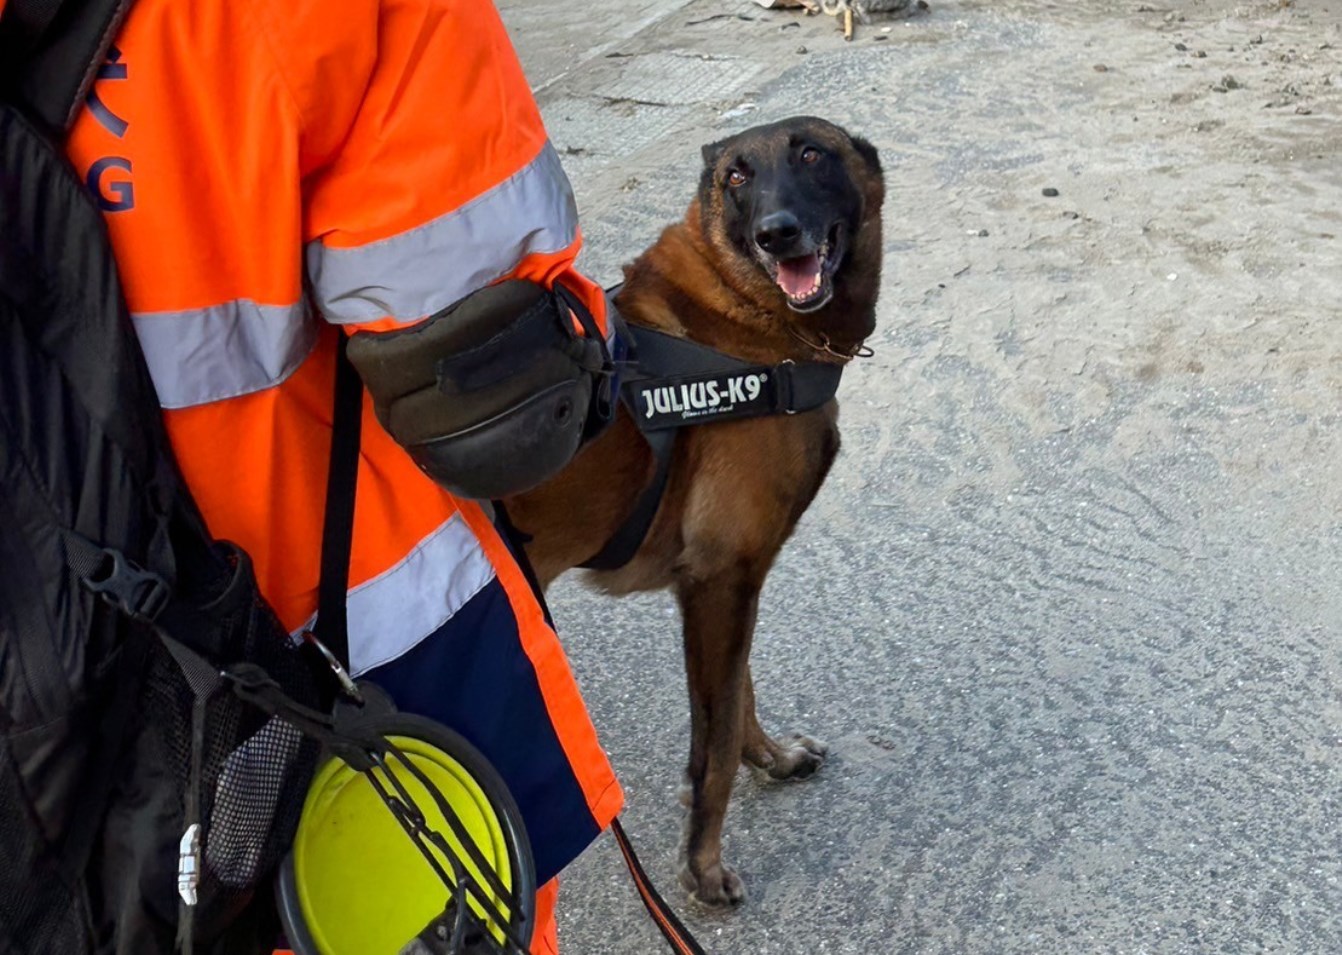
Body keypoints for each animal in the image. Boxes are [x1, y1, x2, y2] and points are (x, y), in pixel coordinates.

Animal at [504, 115, 880, 906]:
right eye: (737, 175)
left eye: (812, 153)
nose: (777, 233)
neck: (745, 320)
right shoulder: (720, 579)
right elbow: (713, 743)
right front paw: (702, 867)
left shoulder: (730, 582)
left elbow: (739, 697)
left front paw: (771, 757)